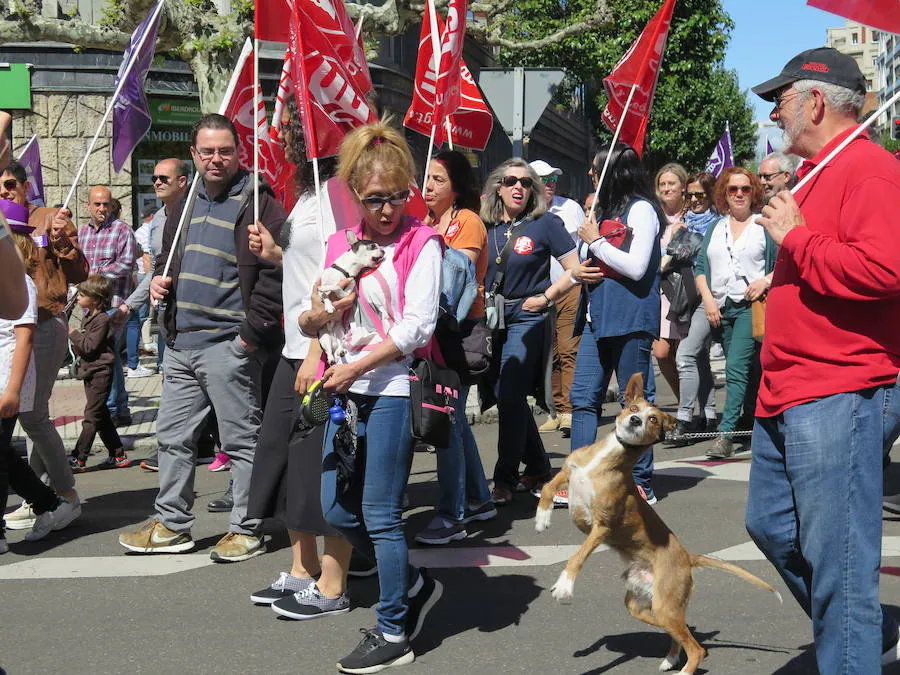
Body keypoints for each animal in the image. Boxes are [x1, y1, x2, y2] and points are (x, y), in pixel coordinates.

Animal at [318, 230, 384, 364]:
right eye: (373, 246)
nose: (383, 250)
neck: (347, 270)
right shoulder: (320, 291)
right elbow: (325, 294)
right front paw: (329, 306)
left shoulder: (348, 294)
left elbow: (337, 287)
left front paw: (327, 290)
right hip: (324, 337)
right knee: (329, 352)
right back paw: (331, 358)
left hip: (341, 332)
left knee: (341, 344)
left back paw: (340, 351)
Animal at [536, 372, 780, 672]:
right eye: (633, 408)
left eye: (653, 419)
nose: (635, 420)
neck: (604, 461)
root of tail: (688, 557)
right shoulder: (571, 473)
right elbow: (548, 487)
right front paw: (542, 517)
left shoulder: (602, 526)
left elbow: (578, 556)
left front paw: (565, 586)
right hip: (644, 605)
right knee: (680, 629)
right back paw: (671, 657)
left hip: (664, 605)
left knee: (696, 647)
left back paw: (684, 668)